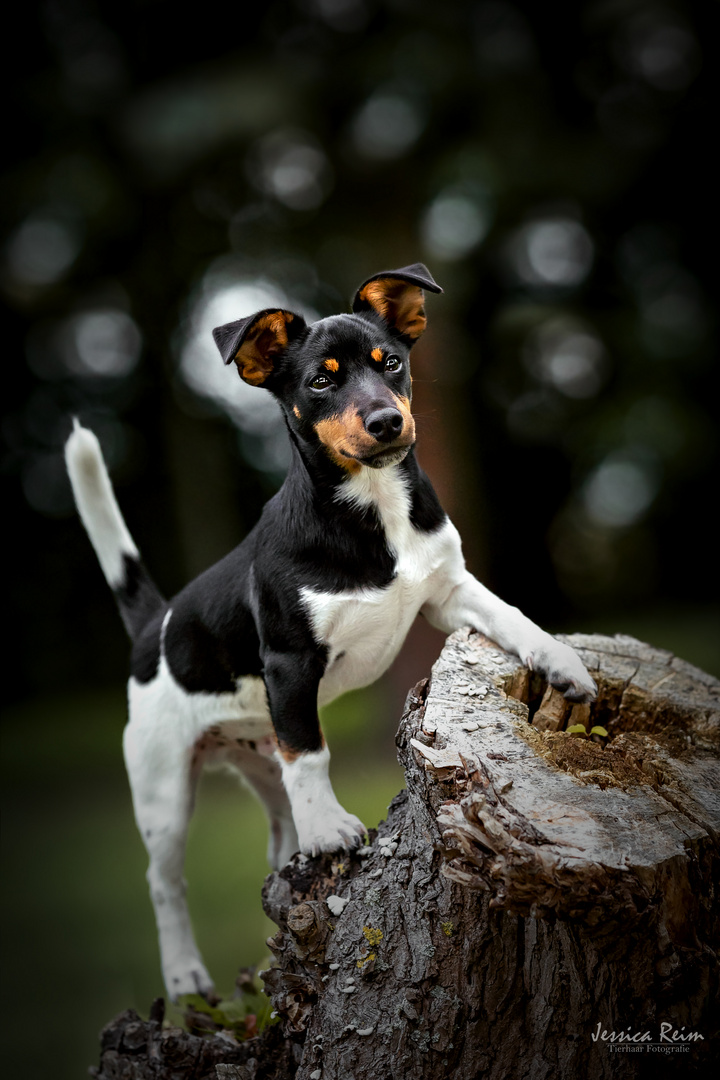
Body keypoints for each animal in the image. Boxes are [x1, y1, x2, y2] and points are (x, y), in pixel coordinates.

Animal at [66, 259, 595, 993]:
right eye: (321, 380)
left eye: (391, 363)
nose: (387, 420)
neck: (373, 511)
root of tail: (156, 627)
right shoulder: (291, 663)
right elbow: (314, 752)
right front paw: (332, 830)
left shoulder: (447, 592)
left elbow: (510, 615)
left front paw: (561, 663)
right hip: (163, 787)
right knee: (165, 881)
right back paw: (186, 976)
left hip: (260, 763)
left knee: (277, 835)